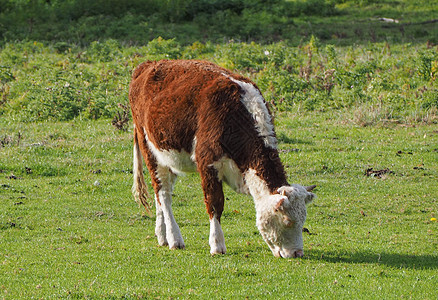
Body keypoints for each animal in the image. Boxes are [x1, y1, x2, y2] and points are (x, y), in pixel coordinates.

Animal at [128, 59, 316, 258]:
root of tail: (149, 64)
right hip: (149, 148)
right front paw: (217, 245)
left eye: (303, 220)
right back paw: (174, 239)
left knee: (160, 194)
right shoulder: (207, 163)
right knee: (163, 194)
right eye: (288, 221)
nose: (297, 253)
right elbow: (215, 203)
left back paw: (162, 235)